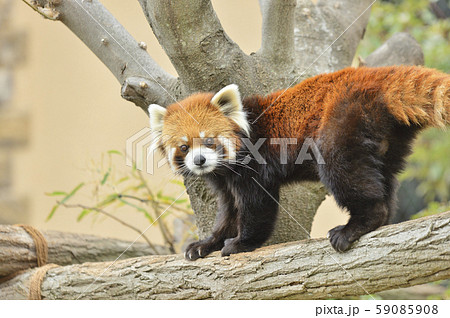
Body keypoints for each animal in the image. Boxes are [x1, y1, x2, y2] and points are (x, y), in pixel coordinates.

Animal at [149, 66, 448, 260]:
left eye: (209, 141)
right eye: (184, 147)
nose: (199, 160)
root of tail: (376, 75)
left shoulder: (256, 166)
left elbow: (257, 207)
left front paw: (241, 243)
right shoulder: (224, 180)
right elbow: (229, 211)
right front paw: (206, 243)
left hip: (343, 119)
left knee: (343, 170)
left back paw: (356, 225)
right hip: (388, 138)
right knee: (384, 177)